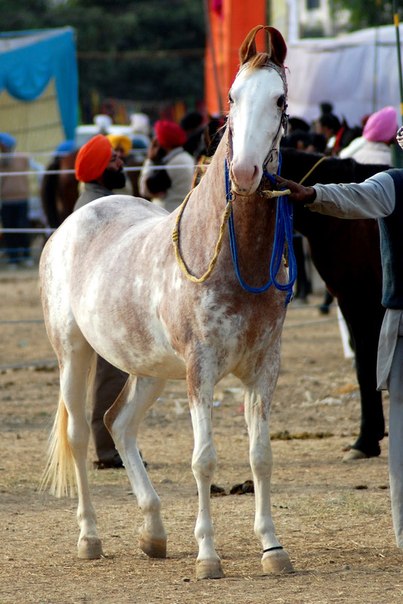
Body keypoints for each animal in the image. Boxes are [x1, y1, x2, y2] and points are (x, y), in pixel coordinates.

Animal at [39, 24, 296, 580]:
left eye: (280, 100)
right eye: (232, 97)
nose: (245, 173)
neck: (231, 258)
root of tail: (73, 223)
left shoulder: (264, 367)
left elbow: (261, 456)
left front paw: (272, 548)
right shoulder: (201, 369)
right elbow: (204, 459)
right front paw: (208, 556)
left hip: (149, 369)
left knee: (118, 424)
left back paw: (154, 533)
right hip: (74, 354)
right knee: (79, 434)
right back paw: (90, 537)